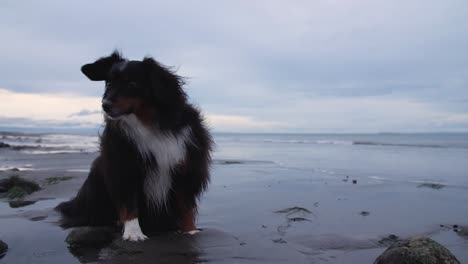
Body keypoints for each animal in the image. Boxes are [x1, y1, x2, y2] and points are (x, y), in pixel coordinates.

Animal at [55, 51, 214, 241]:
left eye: (131, 84)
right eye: (108, 83)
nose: (105, 105)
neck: (151, 122)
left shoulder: (187, 167)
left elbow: (186, 205)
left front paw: (190, 230)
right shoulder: (123, 166)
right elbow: (129, 202)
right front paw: (133, 233)